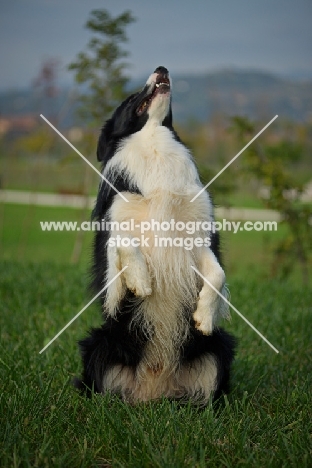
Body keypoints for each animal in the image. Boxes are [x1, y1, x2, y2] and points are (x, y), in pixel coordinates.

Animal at [75, 66, 235, 406]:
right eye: (130, 97)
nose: (162, 68)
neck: (155, 145)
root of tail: (153, 392)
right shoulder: (113, 230)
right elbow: (123, 243)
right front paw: (140, 280)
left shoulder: (198, 238)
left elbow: (217, 273)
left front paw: (204, 315)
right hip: (99, 343)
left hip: (219, 348)